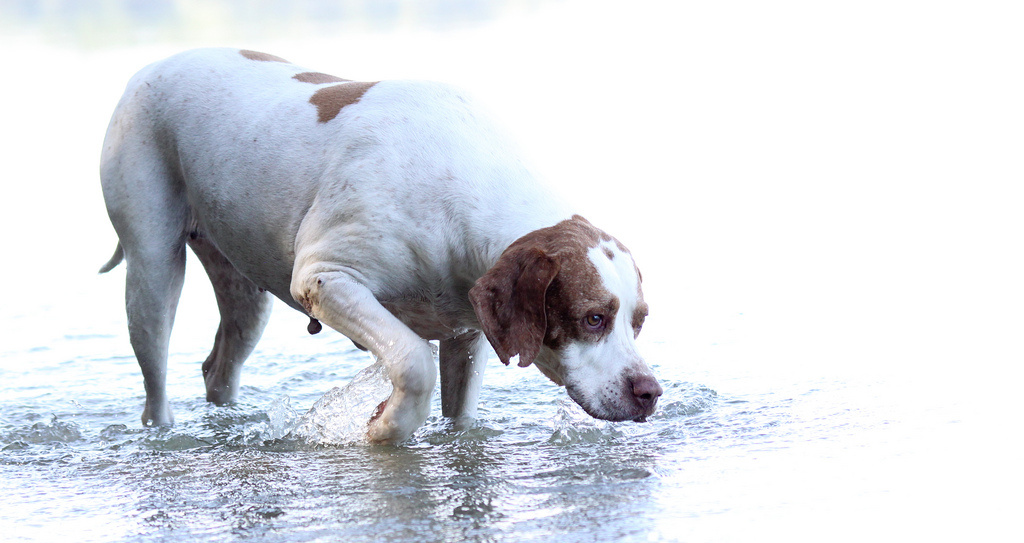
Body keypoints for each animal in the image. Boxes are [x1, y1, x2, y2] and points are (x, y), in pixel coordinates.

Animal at [97, 48, 663, 442]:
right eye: (593, 318)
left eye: (638, 322)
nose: (650, 391)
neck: (461, 192)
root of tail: (152, 65)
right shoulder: (325, 276)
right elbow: (412, 361)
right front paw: (387, 427)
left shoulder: (468, 331)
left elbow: (461, 418)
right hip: (152, 272)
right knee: (155, 386)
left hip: (244, 294)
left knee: (219, 367)